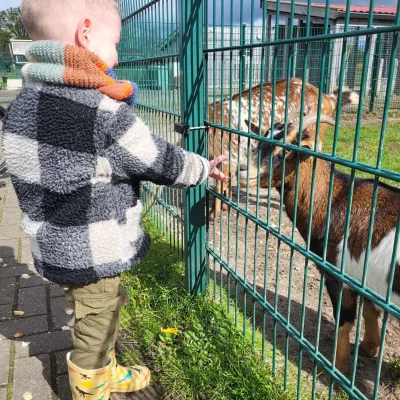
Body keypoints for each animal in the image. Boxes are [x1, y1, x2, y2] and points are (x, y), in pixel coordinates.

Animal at [241, 110, 400, 372]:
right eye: (260, 139)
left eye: (287, 149)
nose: (243, 170)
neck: (335, 200)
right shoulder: (366, 280)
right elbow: (369, 311)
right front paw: (369, 348)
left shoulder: (339, 275)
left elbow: (344, 320)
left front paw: (338, 365)